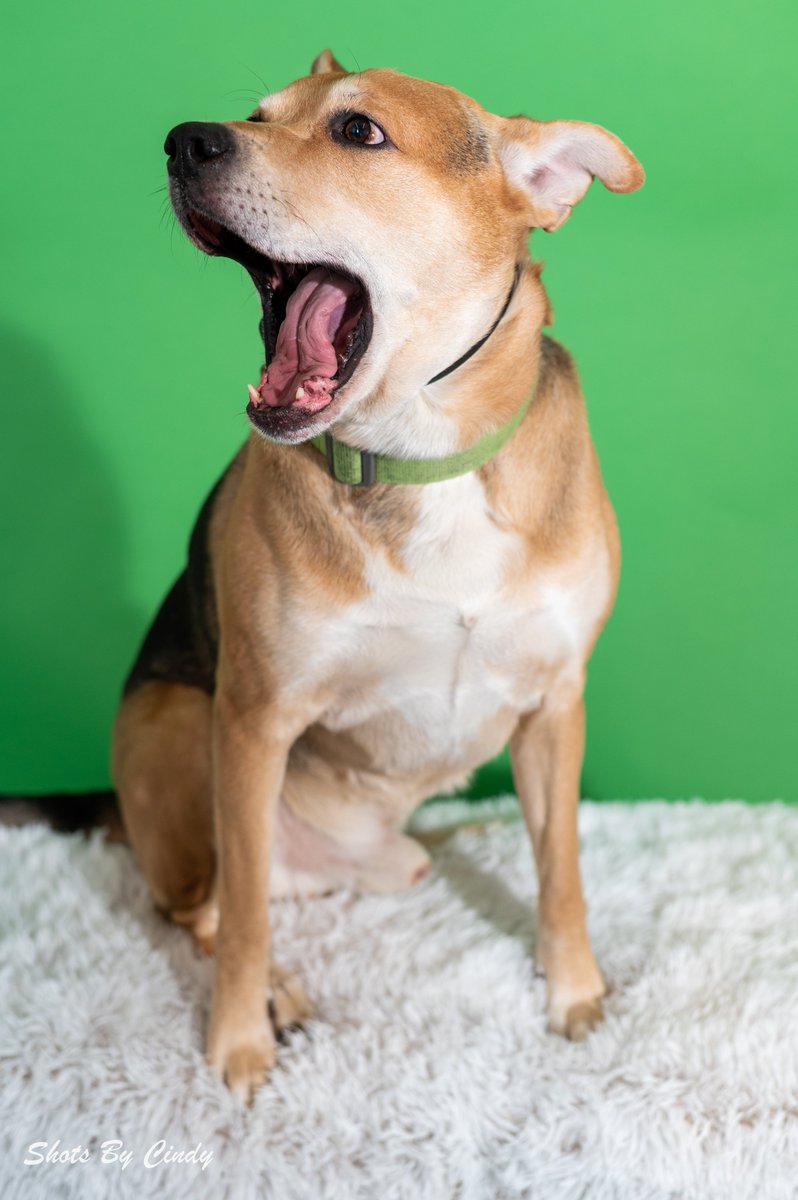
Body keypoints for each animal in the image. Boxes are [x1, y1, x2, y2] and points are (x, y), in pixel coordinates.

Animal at [110, 54, 643, 1104]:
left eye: (359, 132)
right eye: (256, 114)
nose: (186, 142)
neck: (423, 460)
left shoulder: (556, 701)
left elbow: (560, 868)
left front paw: (574, 993)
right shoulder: (254, 718)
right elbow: (242, 922)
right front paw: (238, 1044)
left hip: (393, 859)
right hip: (178, 722)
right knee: (212, 908)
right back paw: (273, 987)